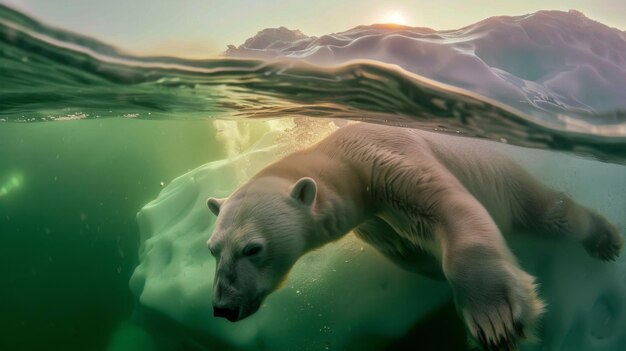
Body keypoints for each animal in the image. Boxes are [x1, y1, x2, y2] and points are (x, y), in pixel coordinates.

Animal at [206, 124, 620, 351]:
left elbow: (449, 209)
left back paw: (604, 238)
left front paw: (496, 323)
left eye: (252, 248)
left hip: (506, 178)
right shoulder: (372, 219)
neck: (344, 156)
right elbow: (406, 249)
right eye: (212, 249)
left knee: (551, 212)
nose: (223, 307)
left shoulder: (386, 158)